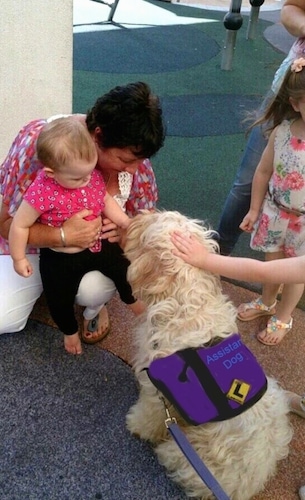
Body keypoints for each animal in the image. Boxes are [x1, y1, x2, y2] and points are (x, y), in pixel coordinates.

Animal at [124, 210, 292, 500]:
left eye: (152, 223)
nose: (140, 213)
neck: (185, 305)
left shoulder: (158, 395)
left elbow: (148, 416)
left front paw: (135, 425)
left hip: (186, 458)